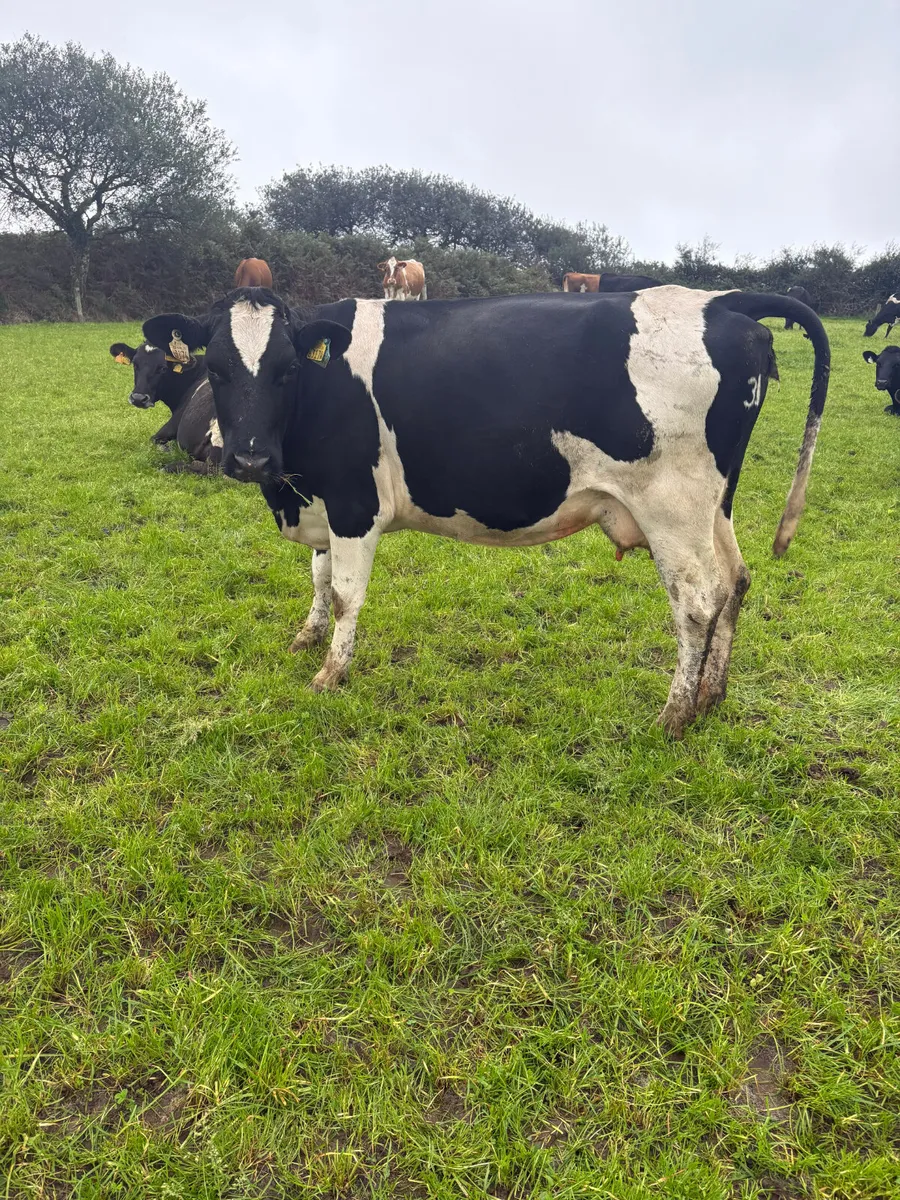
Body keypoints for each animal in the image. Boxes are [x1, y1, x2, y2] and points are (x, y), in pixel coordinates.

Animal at [140, 284, 829, 738]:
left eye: (286, 370)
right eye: (215, 369)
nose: (249, 458)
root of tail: (719, 300)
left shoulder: (356, 503)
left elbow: (344, 592)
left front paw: (330, 673)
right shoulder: (322, 503)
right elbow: (317, 573)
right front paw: (306, 638)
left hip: (673, 508)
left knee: (698, 601)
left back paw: (676, 714)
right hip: (716, 505)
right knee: (737, 581)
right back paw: (712, 697)